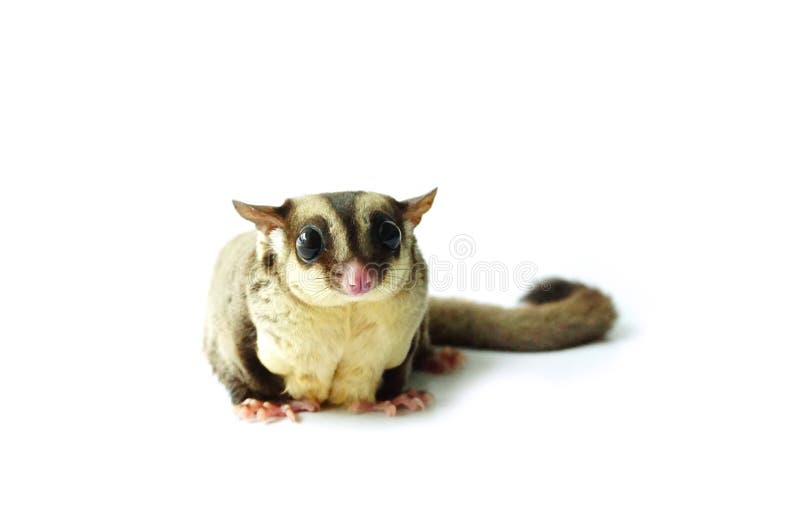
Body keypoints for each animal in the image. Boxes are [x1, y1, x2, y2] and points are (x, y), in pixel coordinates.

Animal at [203, 189, 616, 421]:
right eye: (308, 242)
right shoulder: (238, 319)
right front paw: (263, 402)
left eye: (389, 234)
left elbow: (398, 367)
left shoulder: (411, 325)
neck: (346, 310)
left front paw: (397, 397)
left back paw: (434, 360)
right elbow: (239, 358)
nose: (358, 280)